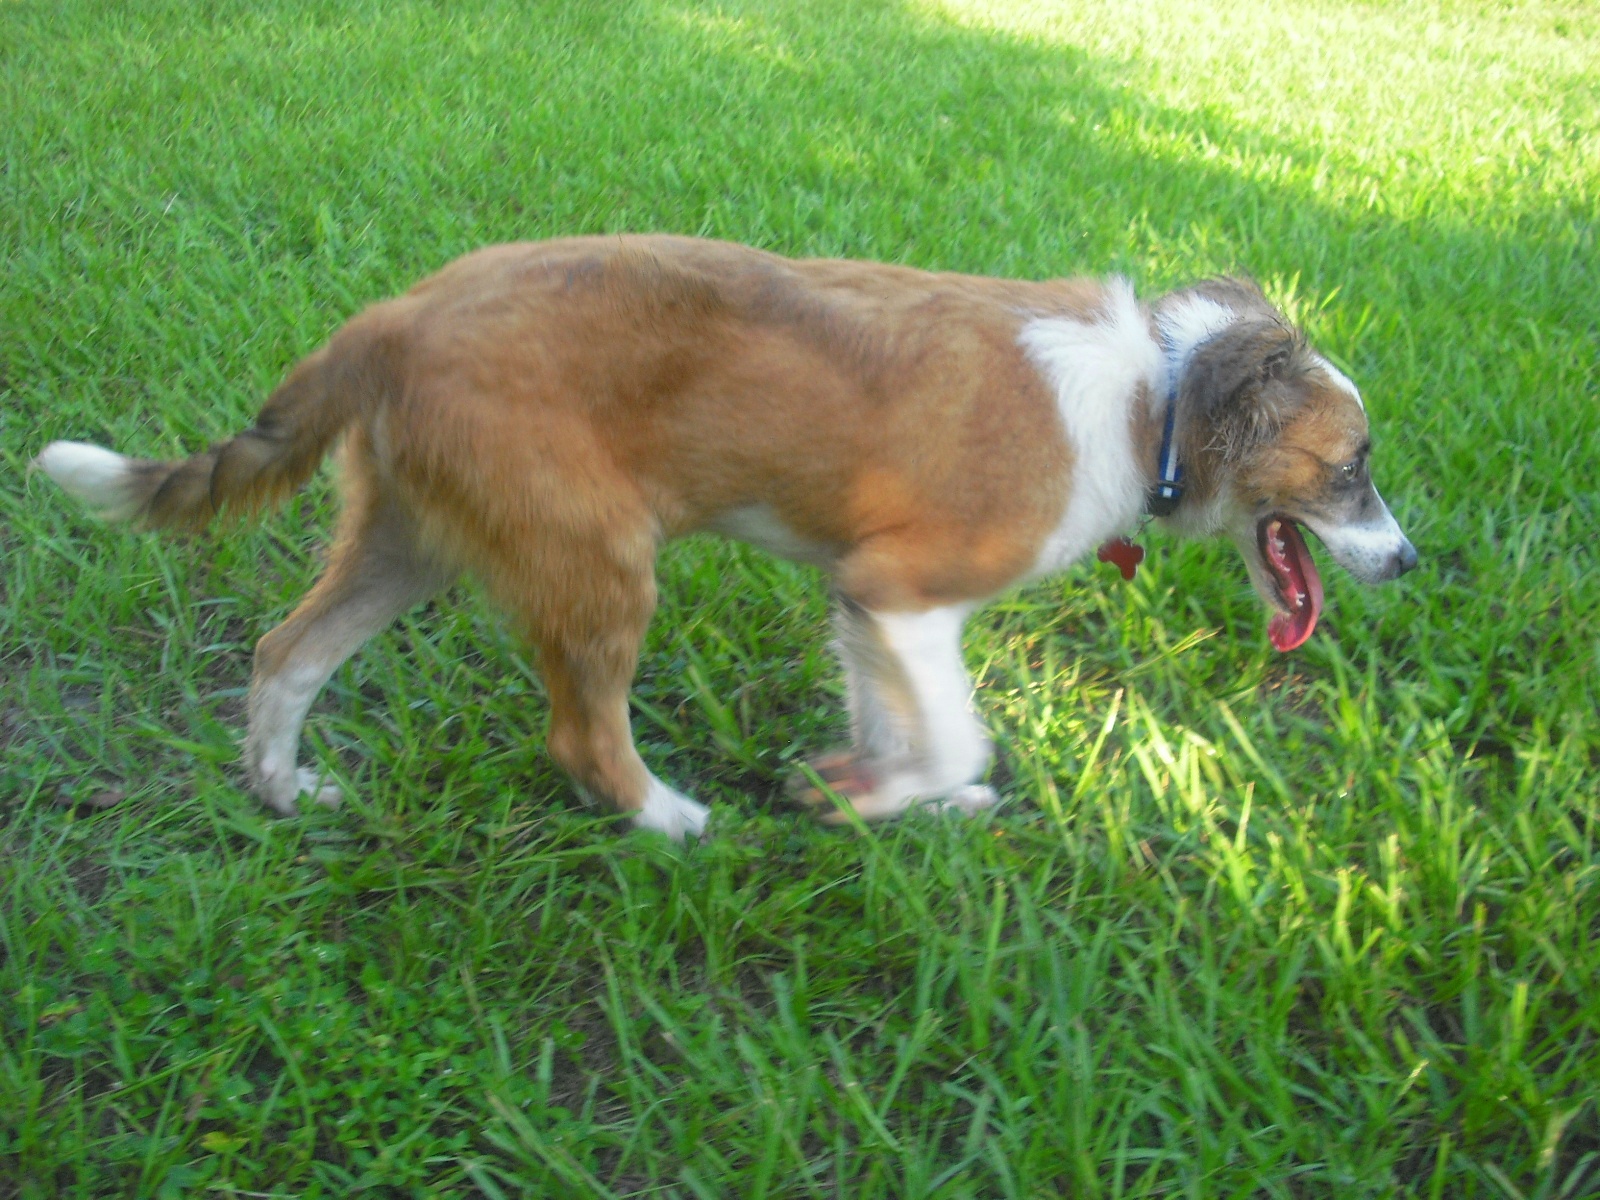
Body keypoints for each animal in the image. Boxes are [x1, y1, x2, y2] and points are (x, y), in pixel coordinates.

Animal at [34, 232, 1414, 838]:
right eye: (1351, 471)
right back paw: (667, 818)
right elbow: (950, 727)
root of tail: (393, 317)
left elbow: (903, 723)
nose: (1406, 563)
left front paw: (896, 798)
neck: (1154, 401)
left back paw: (282, 787)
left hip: (409, 537)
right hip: (599, 563)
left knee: (285, 656)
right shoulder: (902, 589)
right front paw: (879, 797)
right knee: (579, 733)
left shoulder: (865, 606)